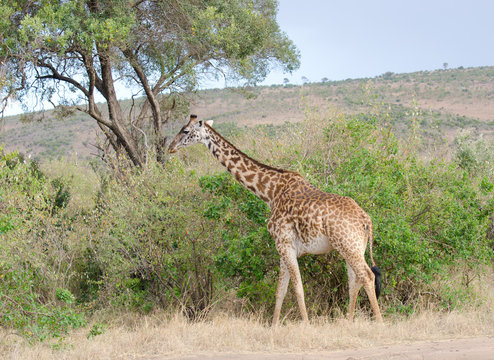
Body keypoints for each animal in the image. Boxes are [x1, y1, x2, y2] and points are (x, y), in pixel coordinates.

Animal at [168, 114, 384, 324]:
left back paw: (379, 322)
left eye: (185, 130)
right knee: (354, 280)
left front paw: (306, 325)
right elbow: (280, 290)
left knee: (367, 275)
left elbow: (297, 288)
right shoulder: (283, 247)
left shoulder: (284, 243)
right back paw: (348, 322)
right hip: (352, 247)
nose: (170, 147)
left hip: (347, 245)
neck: (269, 192)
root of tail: (367, 220)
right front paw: (274, 326)